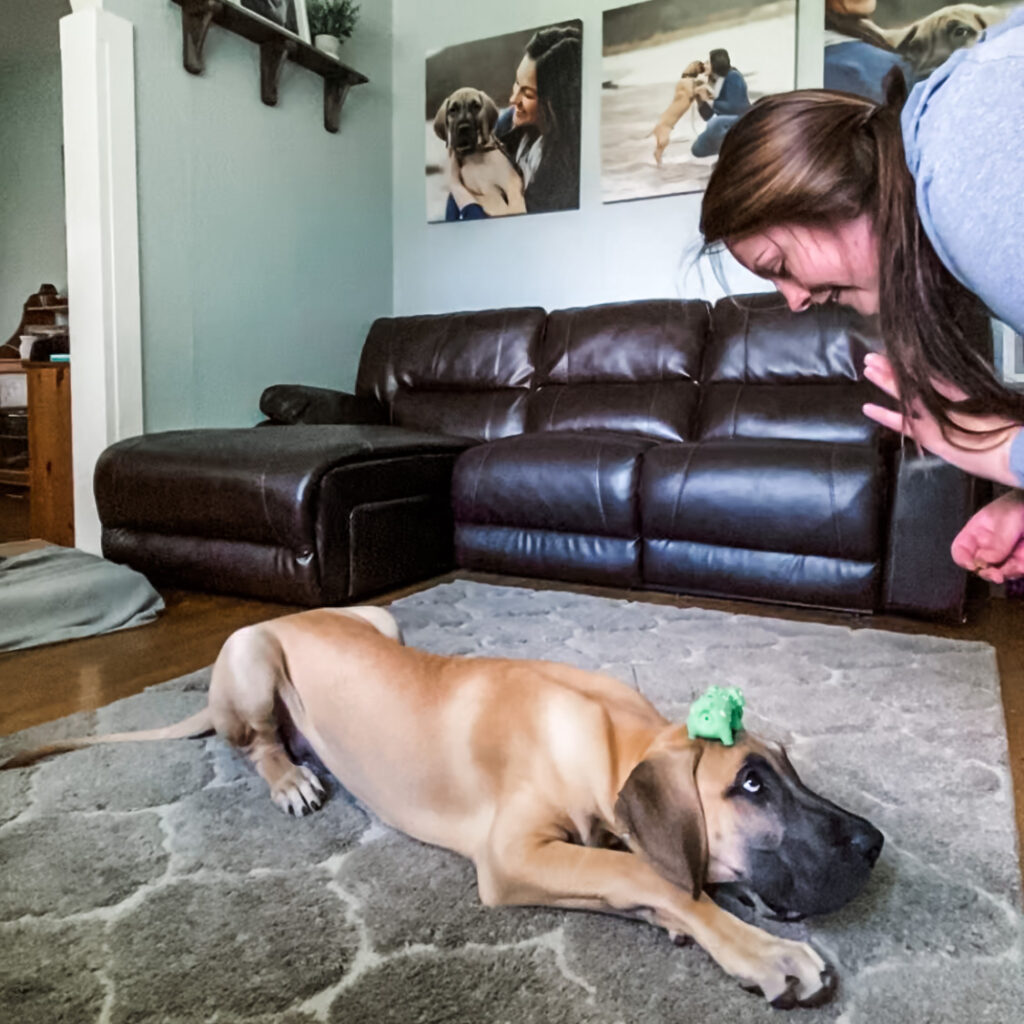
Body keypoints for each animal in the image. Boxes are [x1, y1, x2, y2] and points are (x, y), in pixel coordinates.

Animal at [0, 606, 884, 1007]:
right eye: (752, 785)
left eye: (789, 770)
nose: (873, 843)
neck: (609, 738)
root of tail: (288, 611)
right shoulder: (515, 856)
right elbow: (658, 876)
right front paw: (765, 953)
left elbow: (642, 875)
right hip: (251, 655)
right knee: (252, 743)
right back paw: (290, 776)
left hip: (381, 618)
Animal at [434, 85, 528, 218]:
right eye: (453, 110)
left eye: (476, 106)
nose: (463, 128)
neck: (477, 152)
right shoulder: (485, 189)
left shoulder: (511, 183)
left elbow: (515, 203)